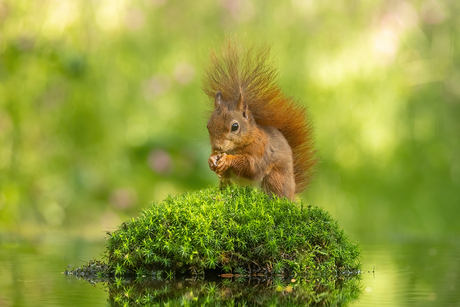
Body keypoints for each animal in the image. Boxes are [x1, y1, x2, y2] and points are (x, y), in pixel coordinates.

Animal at [204, 43, 316, 202]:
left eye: (235, 126)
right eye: (208, 125)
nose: (217, 147)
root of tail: (292, 193)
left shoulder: (261, 149)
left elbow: (252, 167)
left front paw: (227, 160)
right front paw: (211, 160)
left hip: (274, 179)